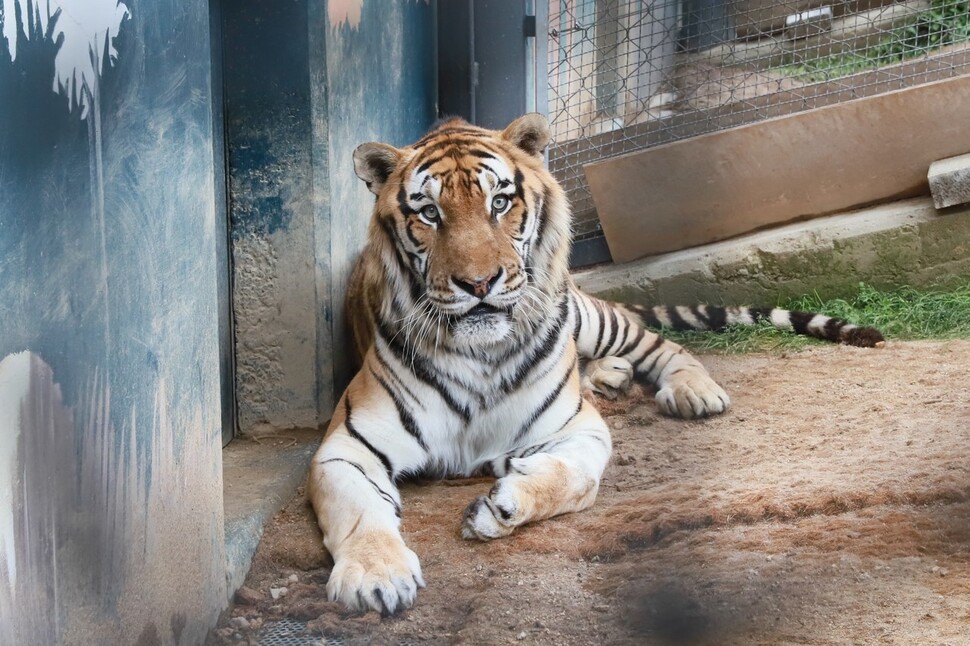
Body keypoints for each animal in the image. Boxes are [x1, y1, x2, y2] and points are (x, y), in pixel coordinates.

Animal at [306, 112, 880, 616]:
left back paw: (692, 390)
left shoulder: (579, 430)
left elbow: (575, 478)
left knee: (656, 341)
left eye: (500, 202)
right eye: (428, 213)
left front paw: (503, 506)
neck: (481, 355)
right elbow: (360, 512)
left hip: (587, 315)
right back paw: (608, 375)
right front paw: (376, 576)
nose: (478, 284)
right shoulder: (348, 446)